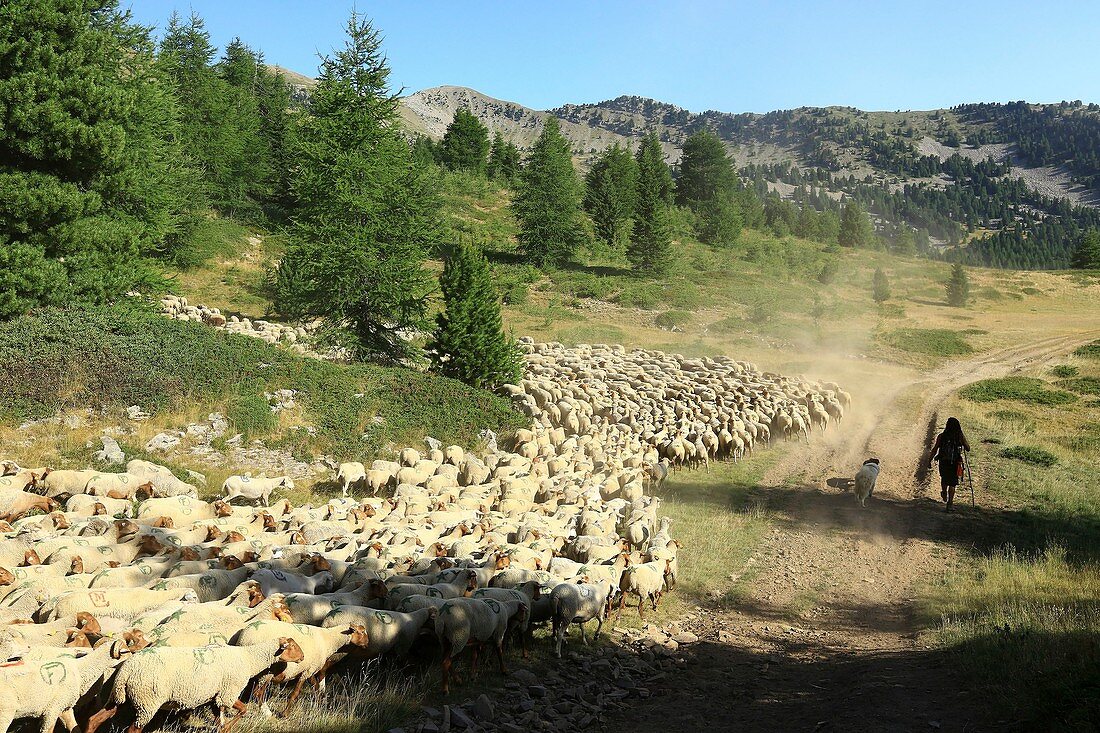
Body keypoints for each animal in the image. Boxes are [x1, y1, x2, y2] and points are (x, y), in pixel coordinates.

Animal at [84, 633, 305, 730]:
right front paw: (228, 726)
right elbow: (242, 710)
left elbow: (219, 717)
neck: (249, 659)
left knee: (95, 719)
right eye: (293, 646)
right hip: (147, 701)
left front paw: (222, 727)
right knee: (134, 729)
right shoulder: (228, 693)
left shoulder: (215, 696)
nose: (303, 657)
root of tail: (126, 671)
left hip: (120, 697)